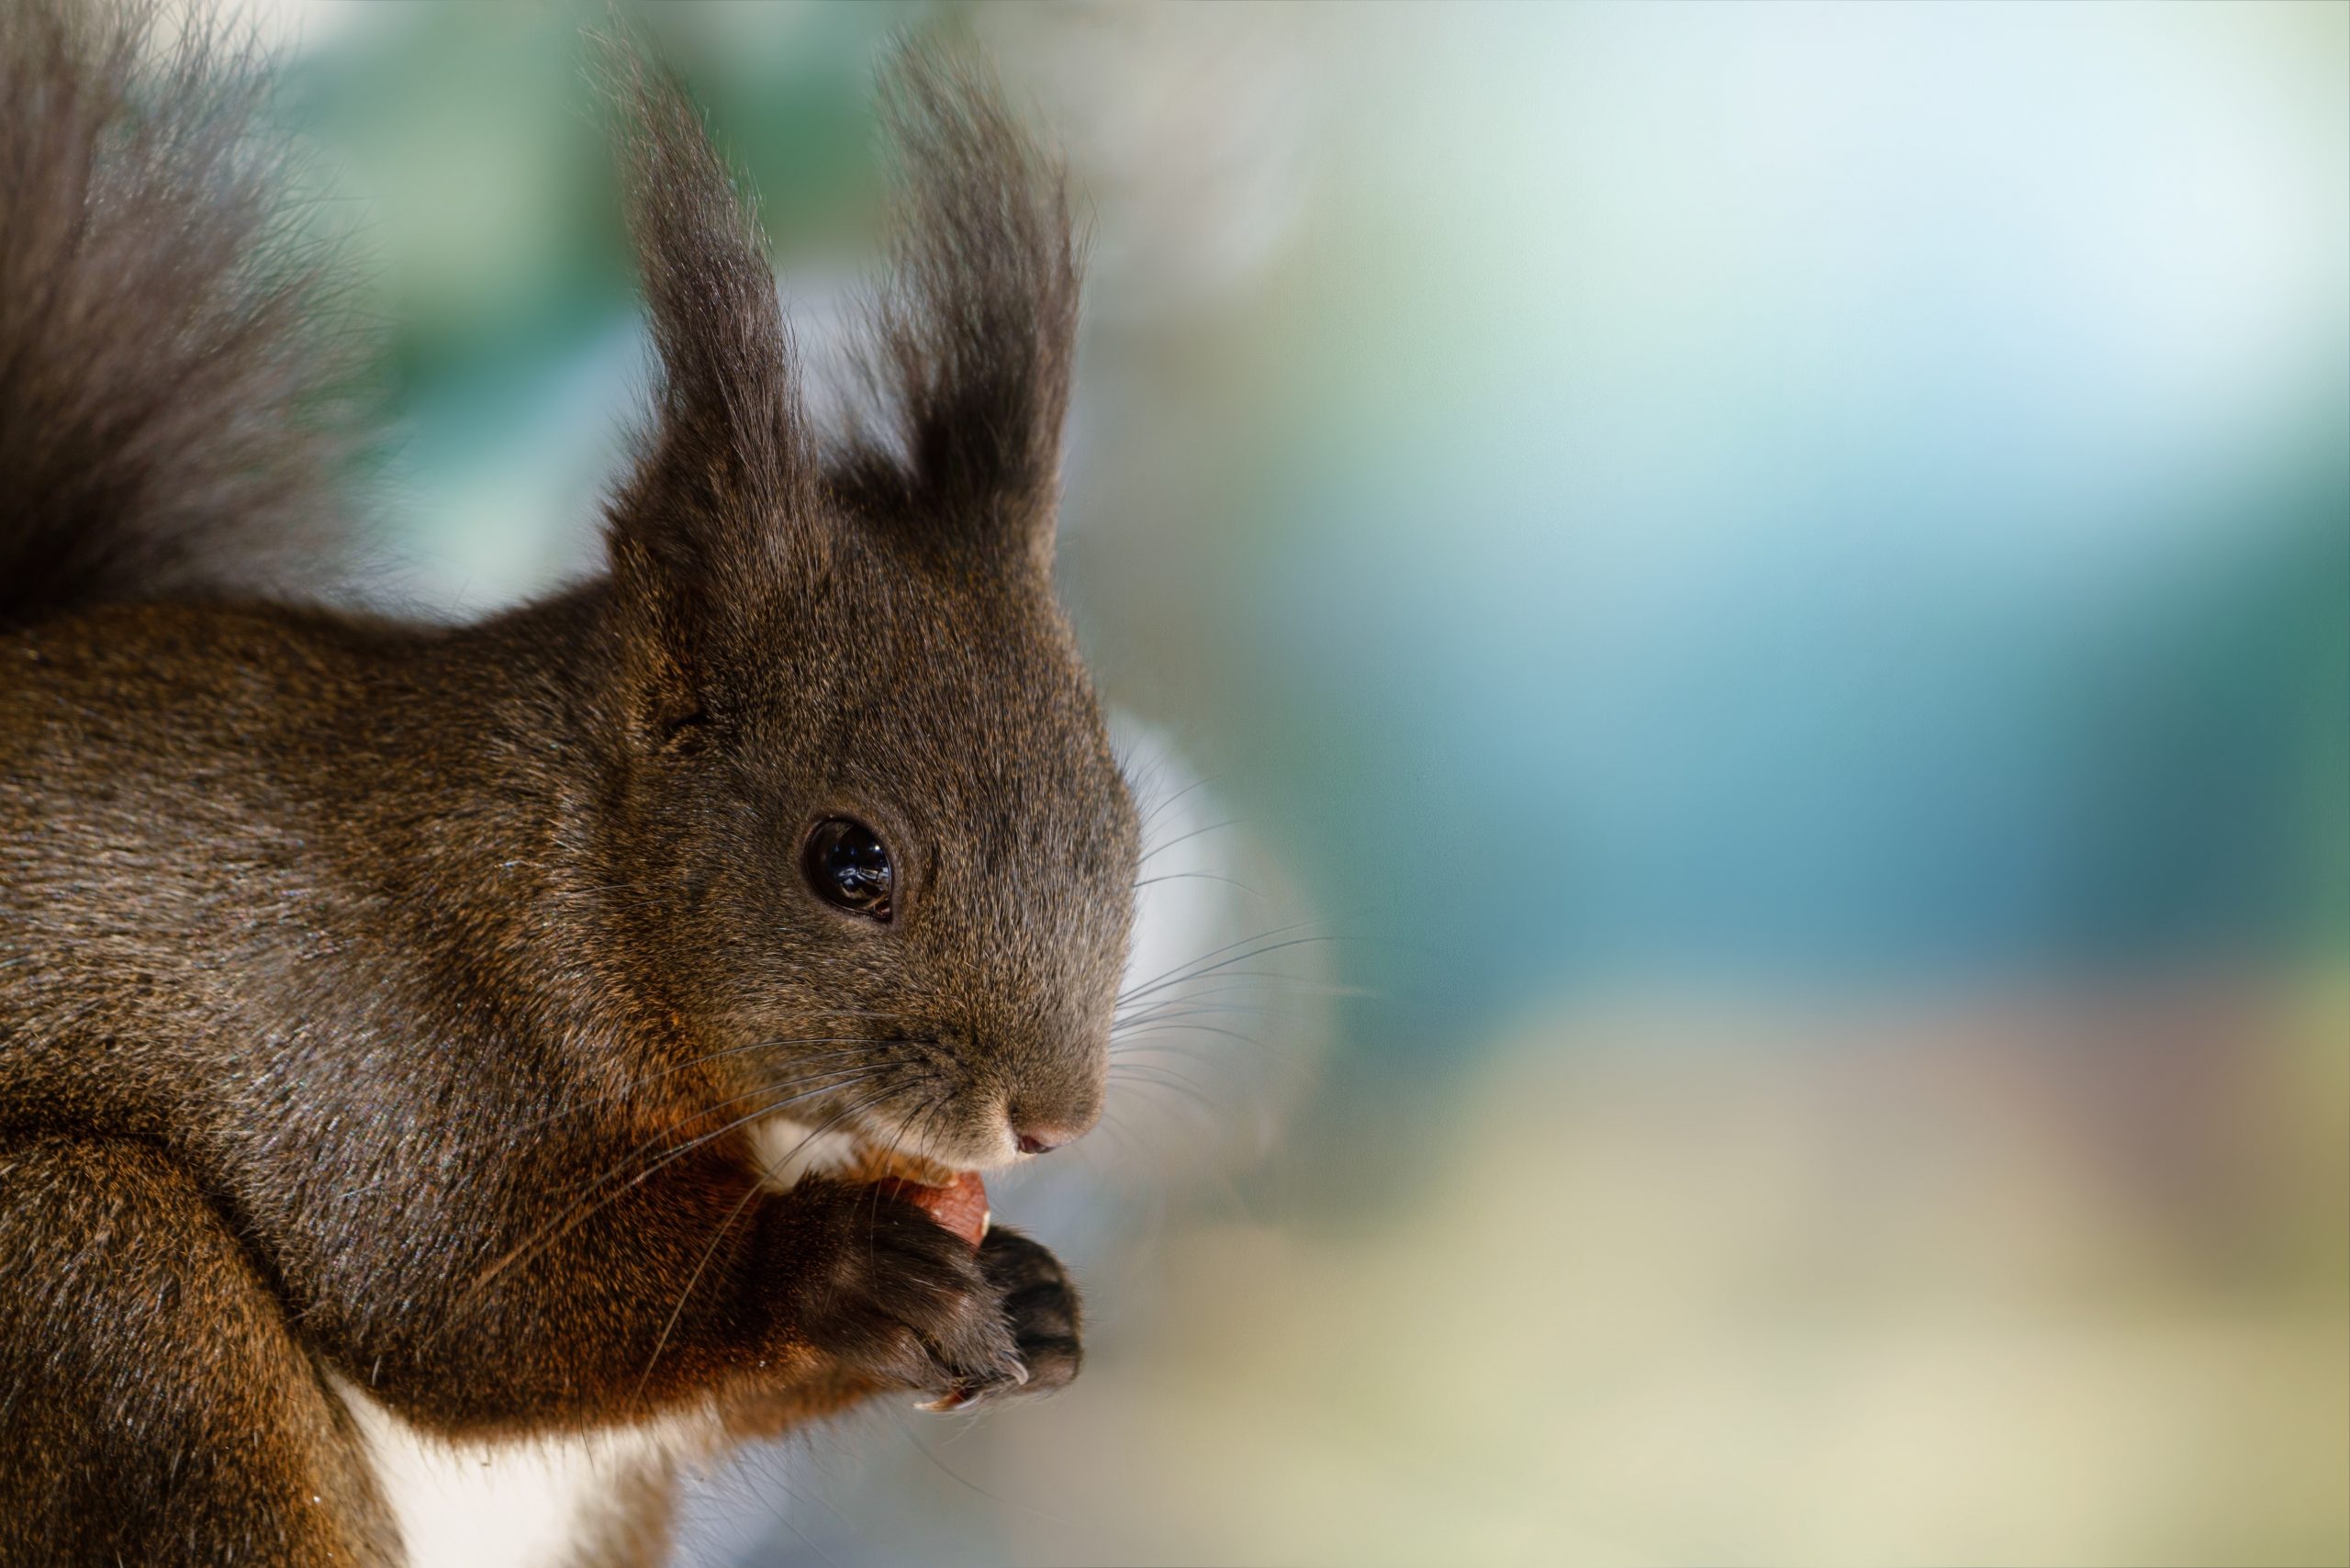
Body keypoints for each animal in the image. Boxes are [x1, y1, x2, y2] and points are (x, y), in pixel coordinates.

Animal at [0, 2, 1139, 1563]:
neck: (570, 870)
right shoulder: (374, 1046)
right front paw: (832, 1265)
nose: (1053, 1121)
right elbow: (463, 1294)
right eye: (849, 862)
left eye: (1125, 829)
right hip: (107, 1291)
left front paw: (1035, 1292)